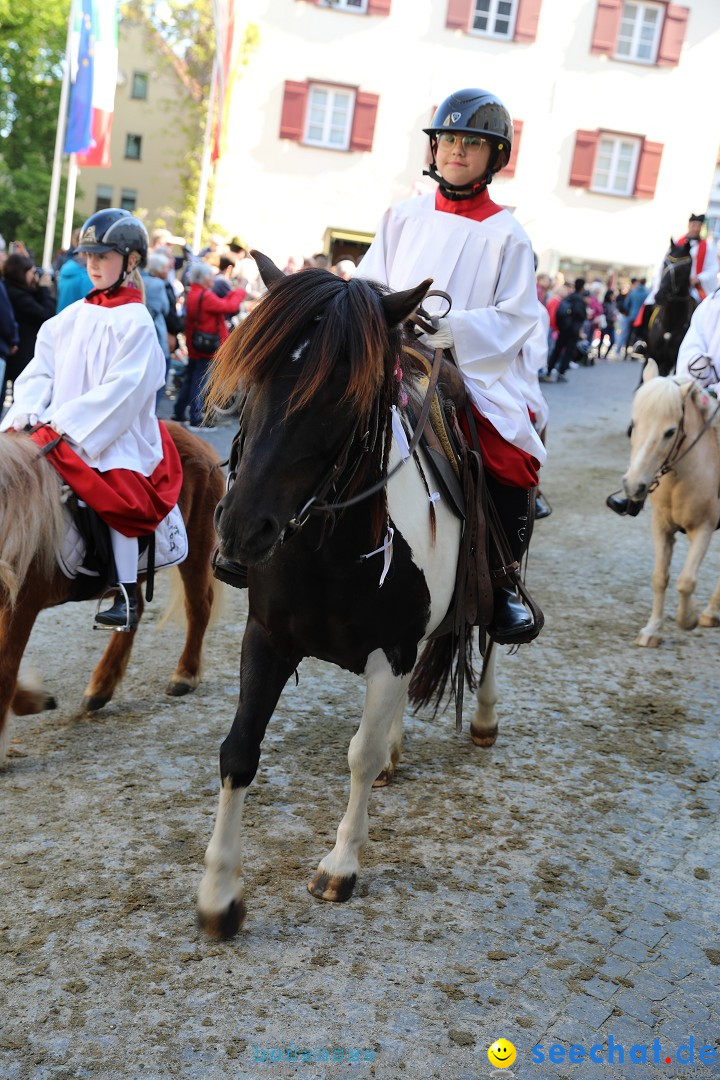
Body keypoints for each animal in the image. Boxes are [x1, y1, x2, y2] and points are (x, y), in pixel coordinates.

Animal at [0, 416, 225, 764]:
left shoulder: (21, 605)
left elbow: (5, 668)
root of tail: (196, 441)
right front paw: (35, 698)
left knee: (198, 606)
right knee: (134, 608)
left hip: (197, 549)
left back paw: (185, 675)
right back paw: (101, 686)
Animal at [194, 252, 505, 937]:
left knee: (495, 636)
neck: (329, 552)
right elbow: (238, 751)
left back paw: (485, 717)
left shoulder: (393, 650)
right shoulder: (267, 639)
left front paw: (340, 866)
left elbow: (357, 756)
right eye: (254, 379)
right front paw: (220, 894)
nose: (241, 528)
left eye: (341, 395)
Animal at [621, 362, 716, 643]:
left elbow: (686, 581)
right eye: (633, 424)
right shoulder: (661, 525)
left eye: (670, 432)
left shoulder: (704, 528)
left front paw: (688, 618)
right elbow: (659, 577)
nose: (634, 485)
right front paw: (652, 629)